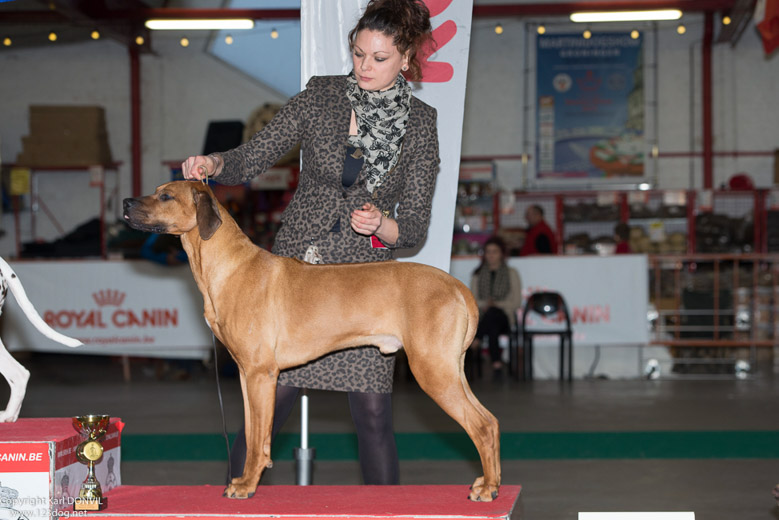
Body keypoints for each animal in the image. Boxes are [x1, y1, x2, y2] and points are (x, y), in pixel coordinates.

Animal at [122, 182, 500, 500]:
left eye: (166, 196)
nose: (125, 203)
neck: (229, 266)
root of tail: (457, 286)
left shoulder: (261, 374)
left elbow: (258, 437)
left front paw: (246, 485)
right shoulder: (247, 376)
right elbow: (253, 433)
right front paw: (246, 478)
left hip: (432, 369)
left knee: (480, 425)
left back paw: (489, 489)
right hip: (450, 368)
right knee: (491, 422)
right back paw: (488, 481)